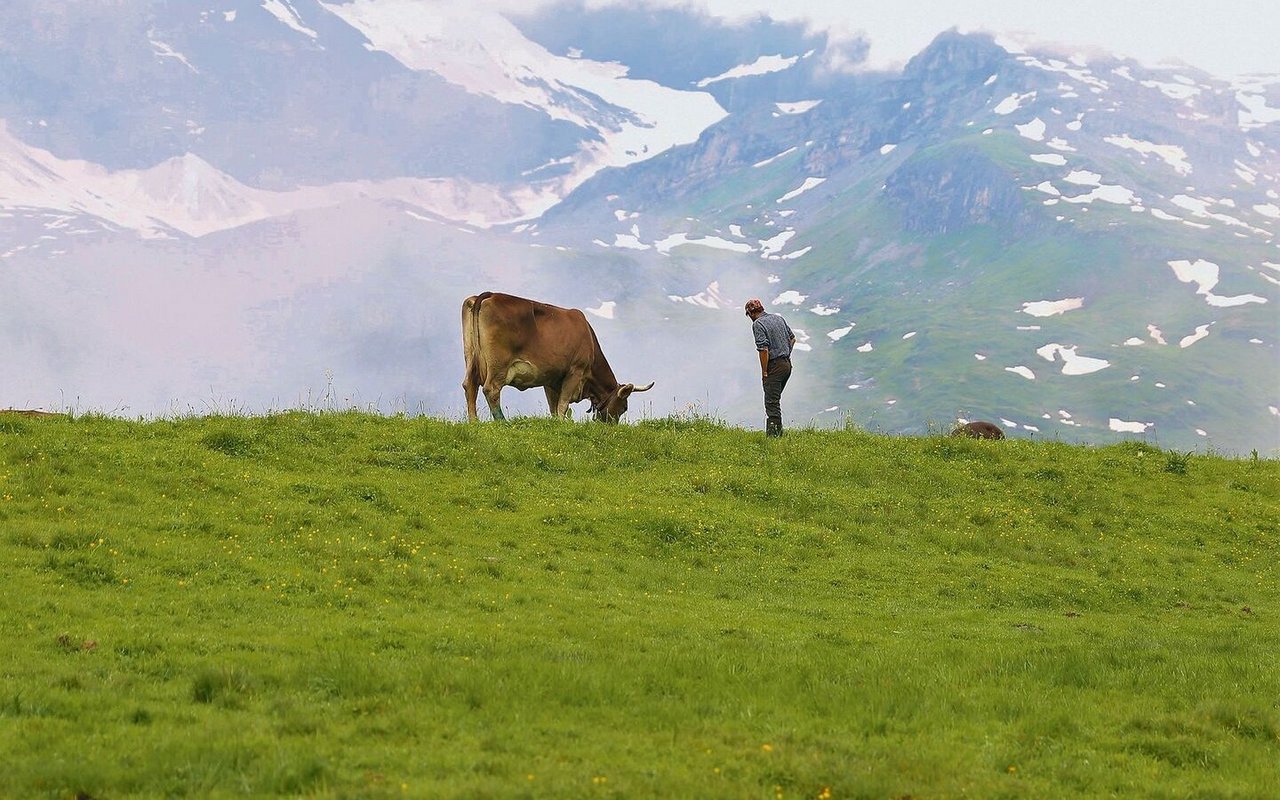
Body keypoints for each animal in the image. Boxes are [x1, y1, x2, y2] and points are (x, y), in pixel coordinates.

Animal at [460, 290, 655, 422]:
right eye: (624, 408)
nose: (610, 426)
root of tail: (490, 295)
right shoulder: (575, 371)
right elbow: (562, 405)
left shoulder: (550, 379)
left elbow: (553, 406)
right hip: (498, 364)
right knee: (491, 389)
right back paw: (503, 422)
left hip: (471, 357)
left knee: (470, 385)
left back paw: (474, 421)